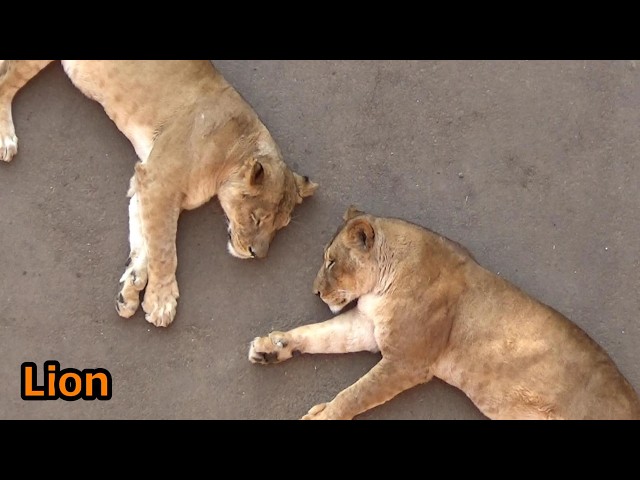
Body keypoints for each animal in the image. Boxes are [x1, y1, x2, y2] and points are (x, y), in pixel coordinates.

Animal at [0, 60, 317, 327]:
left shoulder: (144, 183)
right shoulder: (159, 181)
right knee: (6, 78)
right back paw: (5, 139)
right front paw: (161, 302)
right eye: (256, 218)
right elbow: (164, 249)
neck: (233, 148)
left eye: (279, 228)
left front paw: (131, 287)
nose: (257, 255)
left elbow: (145, 239)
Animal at [249, 207, 640, 419]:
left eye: (331, 261)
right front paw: (271, 347)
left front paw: (323, 413)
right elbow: (319, 333)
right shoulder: (369, 326)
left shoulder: (407, 361)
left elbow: (353, 395)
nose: (315, 291)